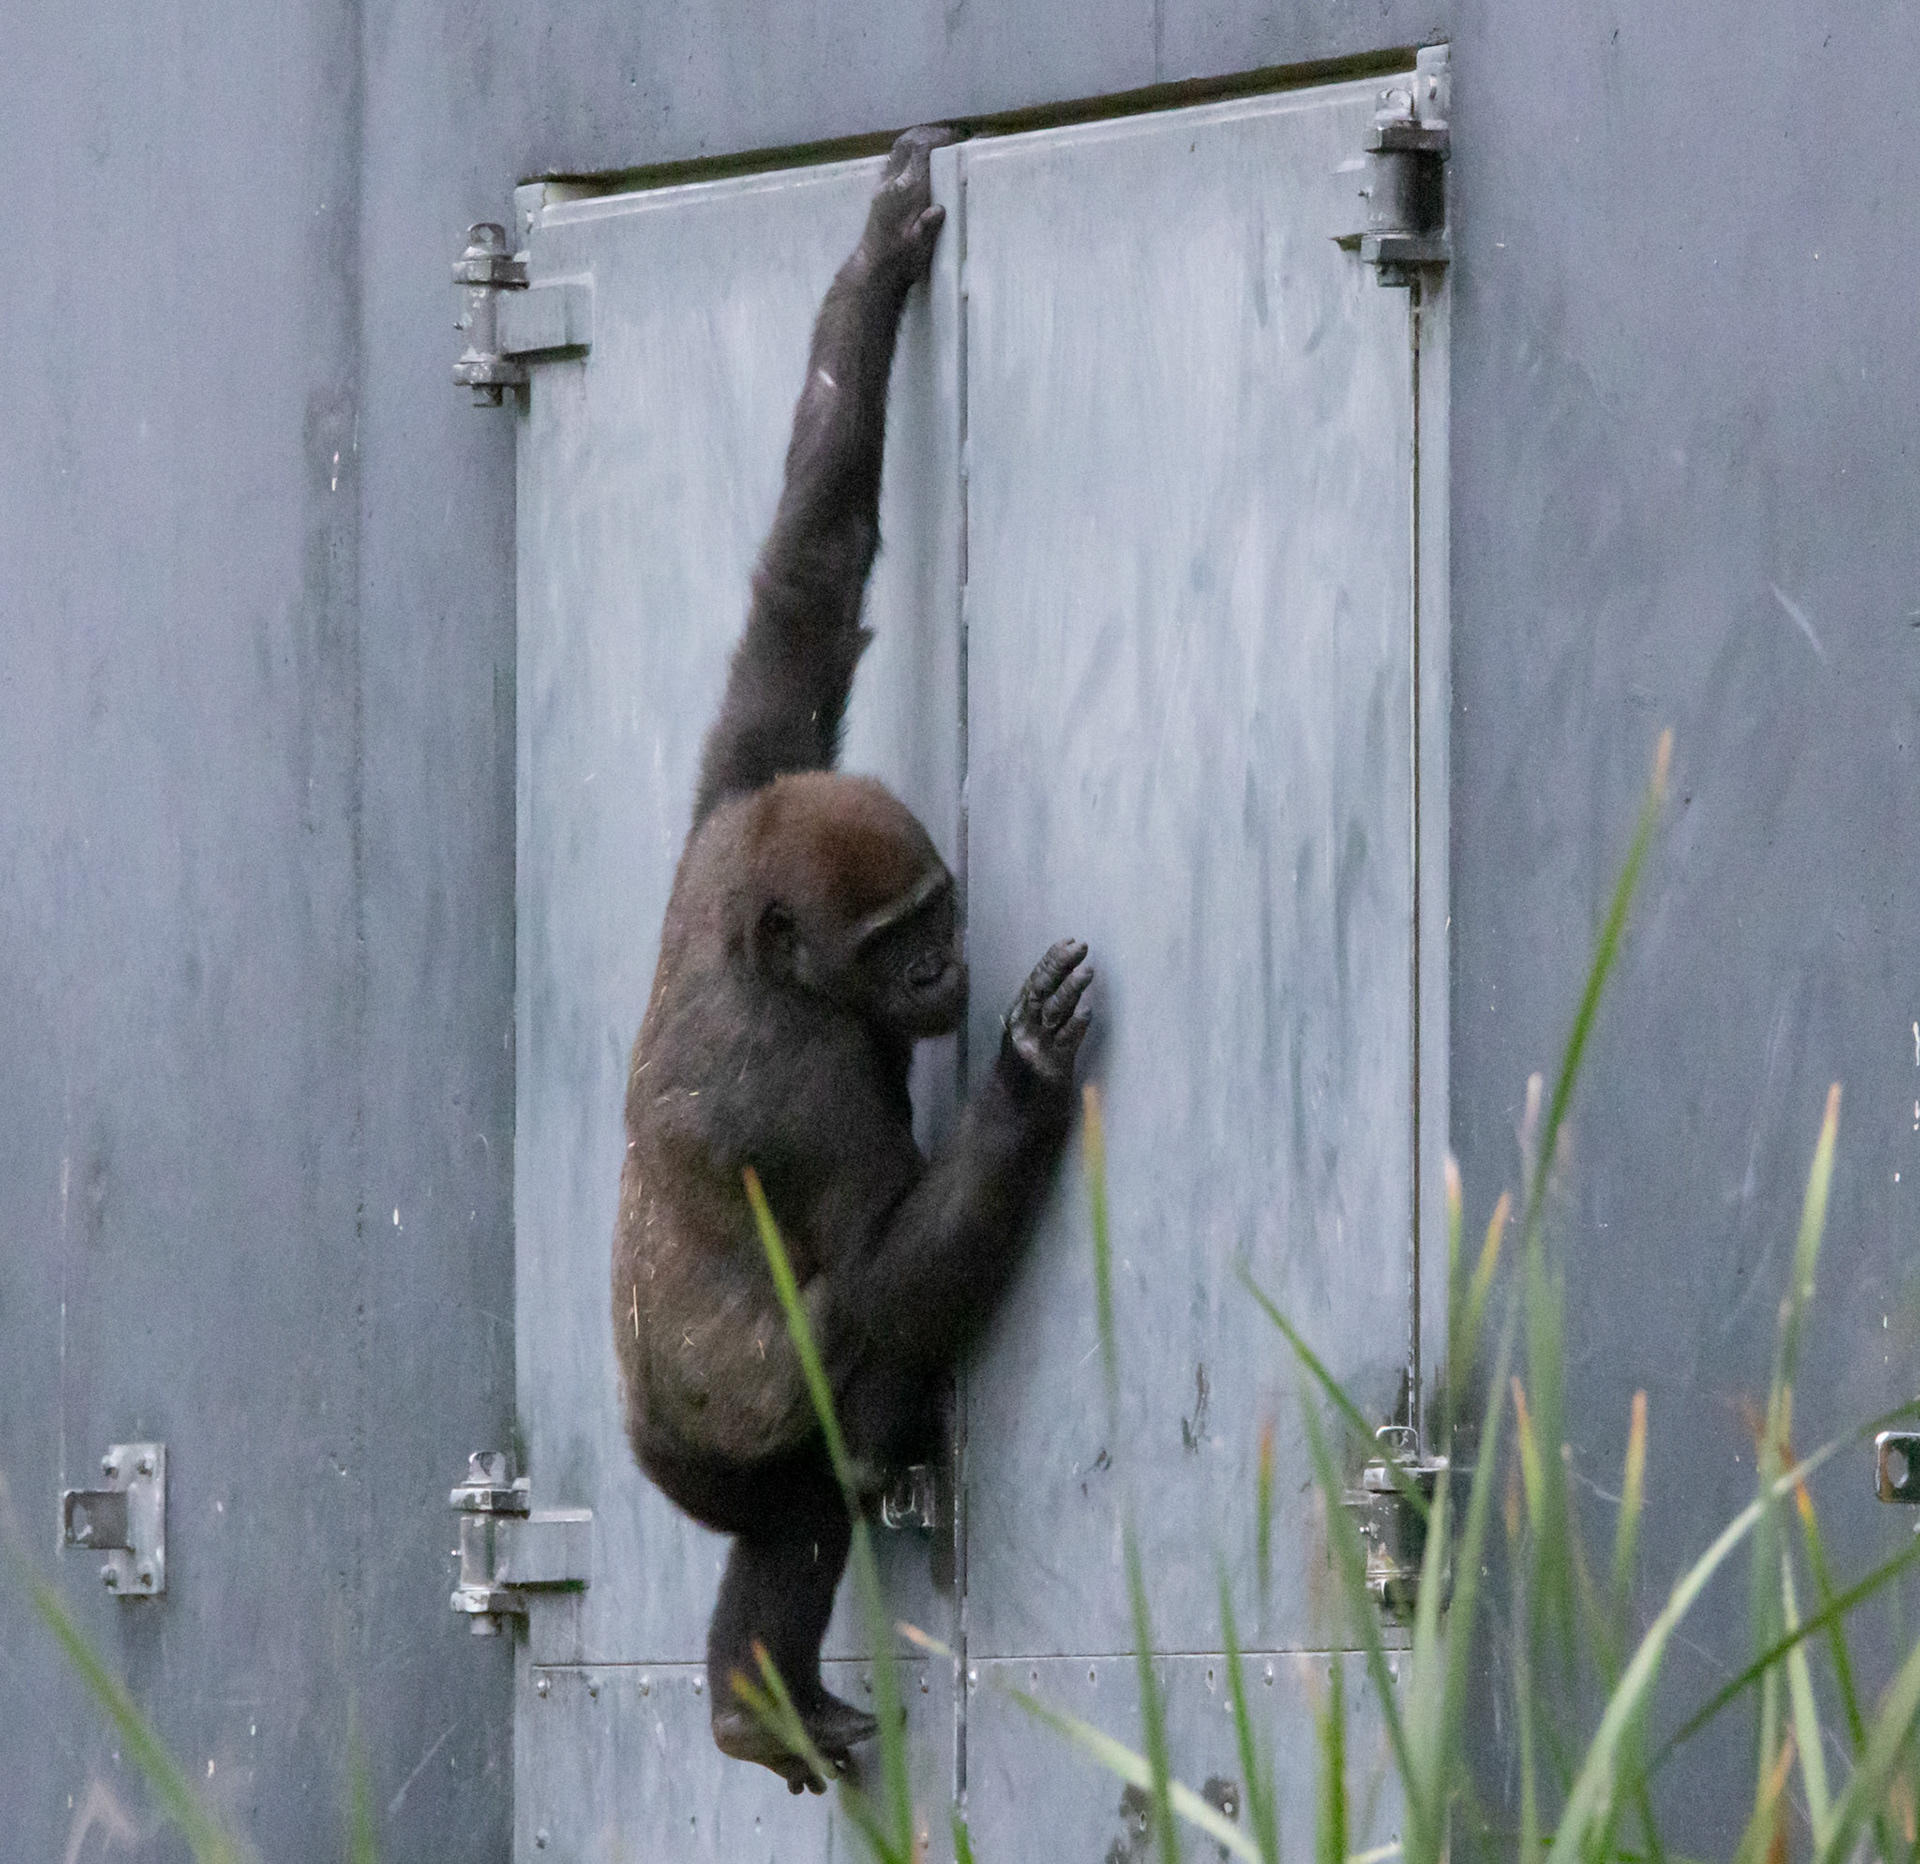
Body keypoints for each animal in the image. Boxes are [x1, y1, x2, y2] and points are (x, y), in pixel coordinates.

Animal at [610, 126, 1093, 1793]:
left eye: (941, 915)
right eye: (902, 943)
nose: (948, 977)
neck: (772, 960)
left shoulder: (741, 790)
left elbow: (808, 573)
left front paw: (877, 266)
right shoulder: (802, 1086)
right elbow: (884, 1272)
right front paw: (1021, 1086)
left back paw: (742, 1693)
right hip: (707, 1442)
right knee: (835, 1410)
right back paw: (760, 1692)